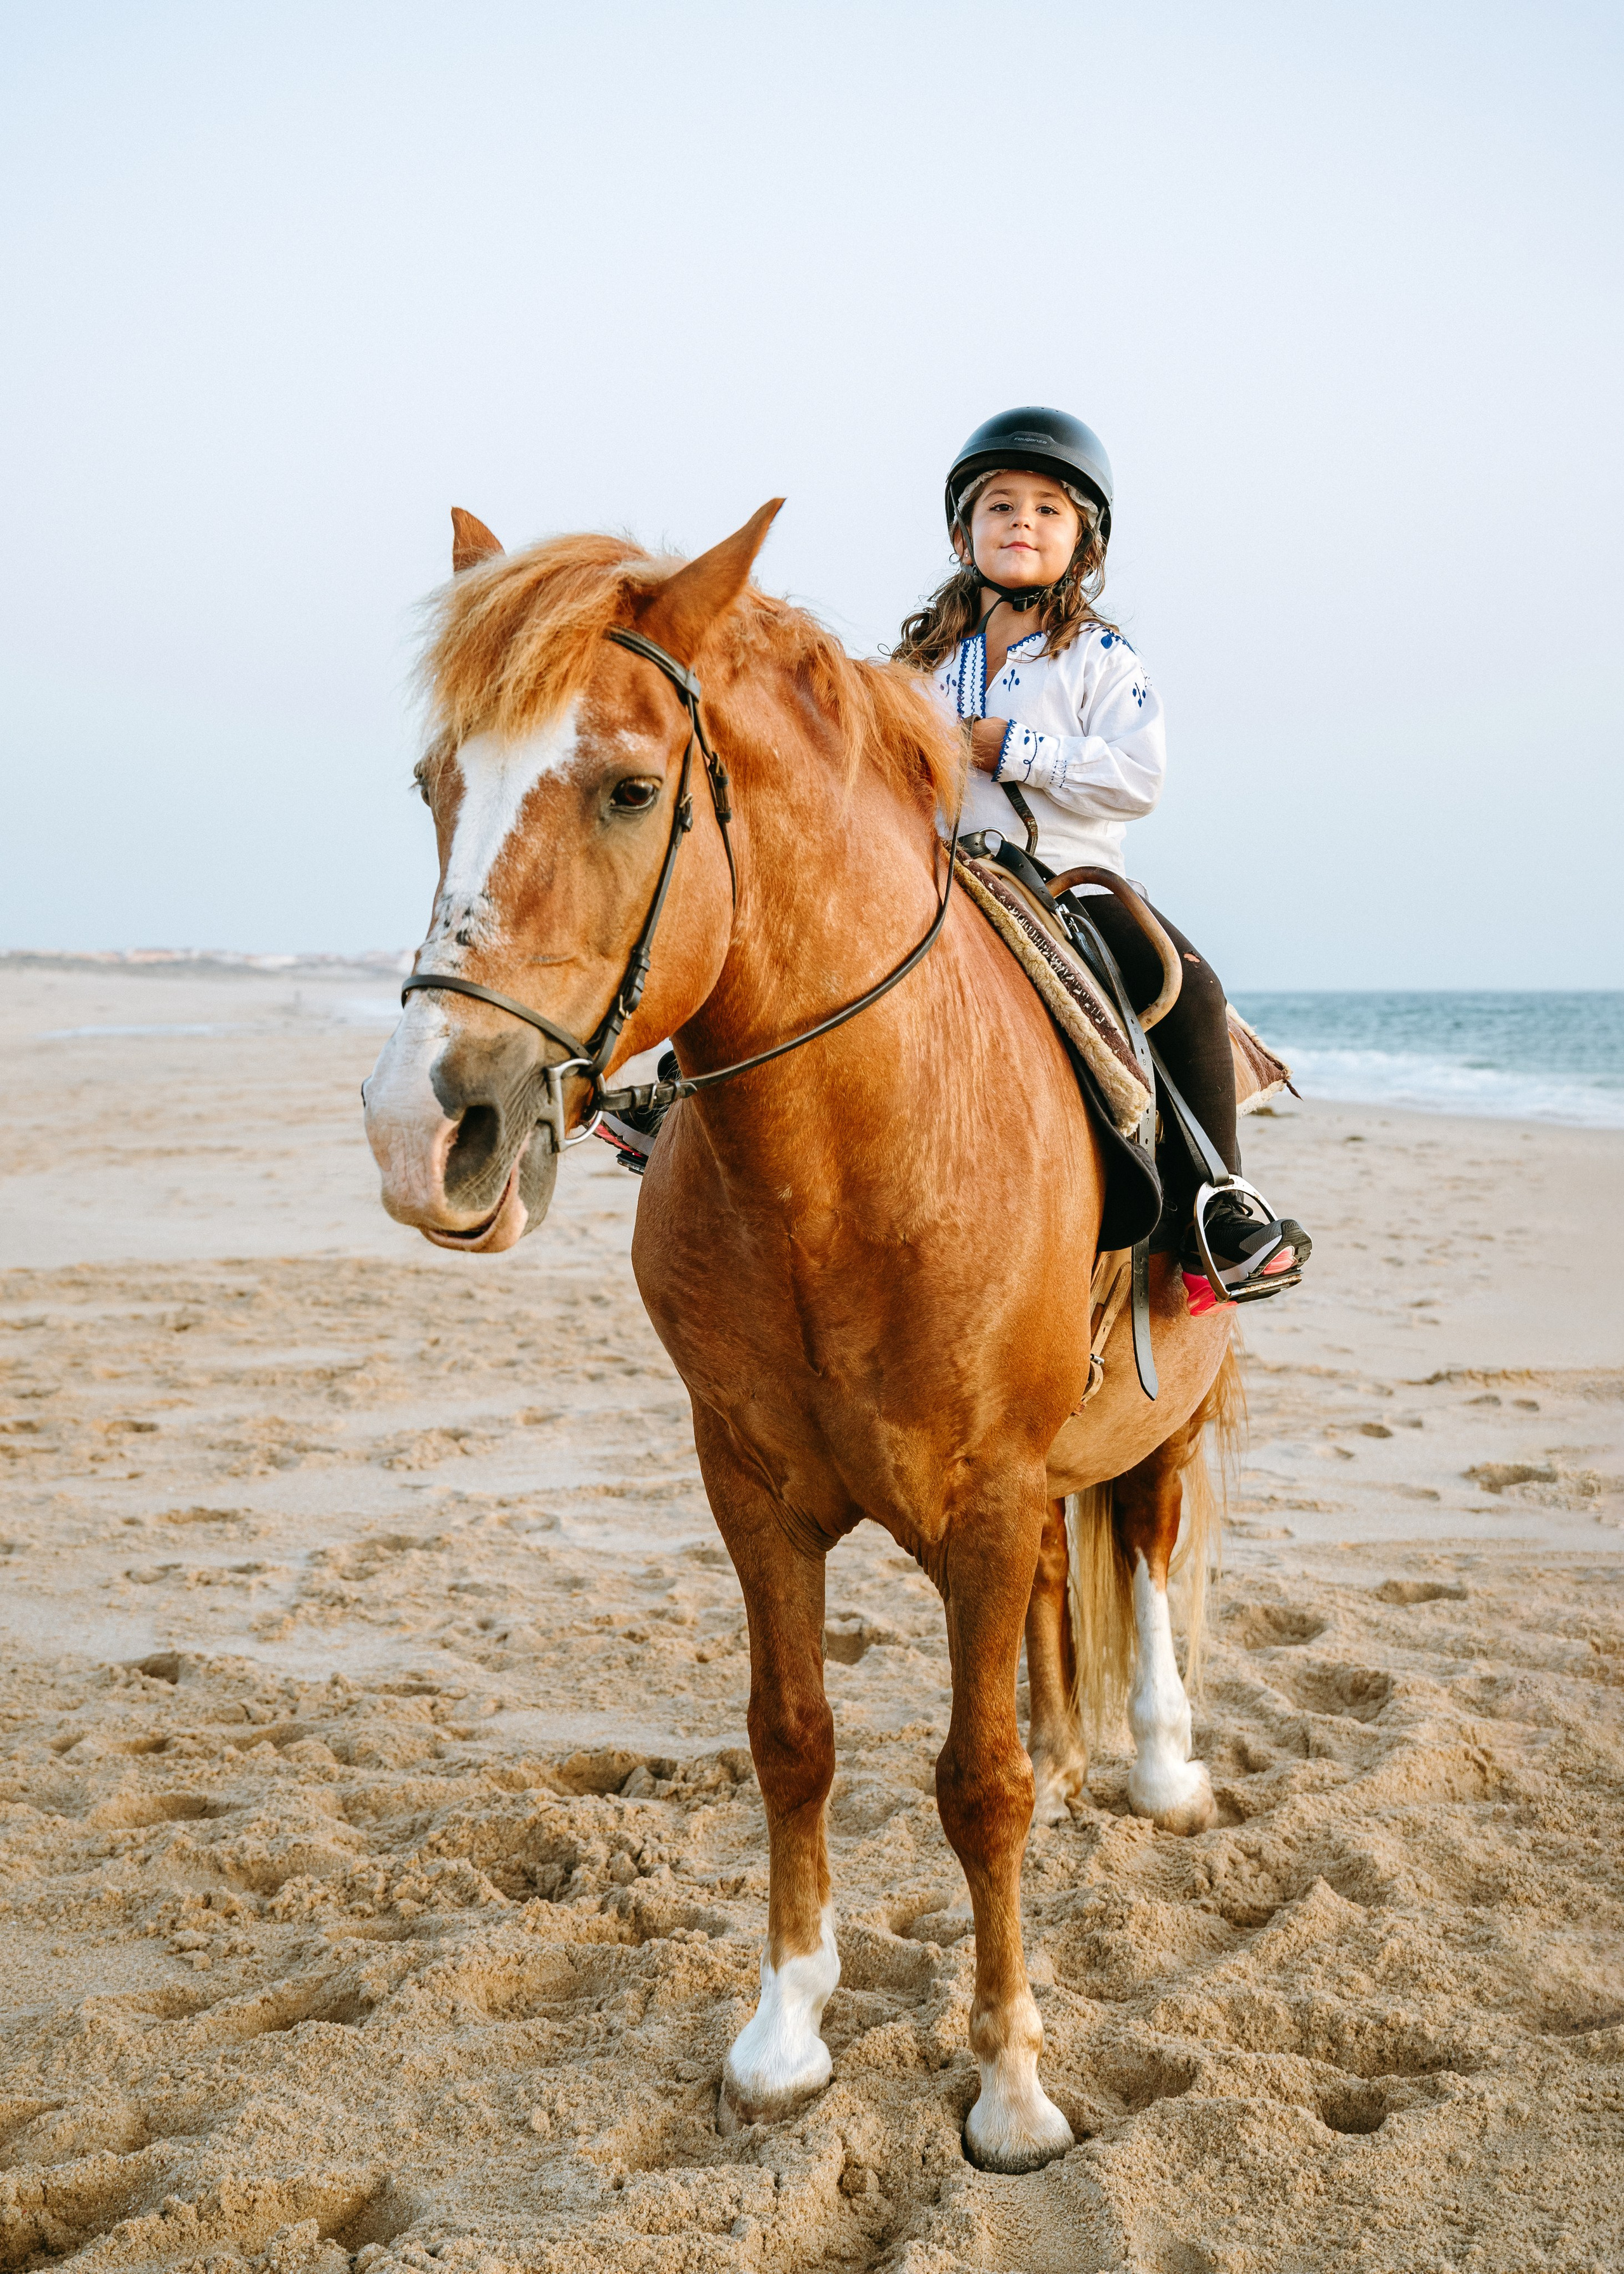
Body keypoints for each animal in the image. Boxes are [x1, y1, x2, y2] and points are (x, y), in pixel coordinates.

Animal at [362, 501, 1239, 2174]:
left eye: (631, 789)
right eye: (436, 786)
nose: (422, 1135)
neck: (848, 1156)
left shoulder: (984, 1491)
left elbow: (976, 1784)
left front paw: (1010, 2084)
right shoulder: (754, 1489)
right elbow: (793, 1738)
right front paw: (784, 2032)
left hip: (1162, 1412)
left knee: (1152, 1543)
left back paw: (1160, 1763)